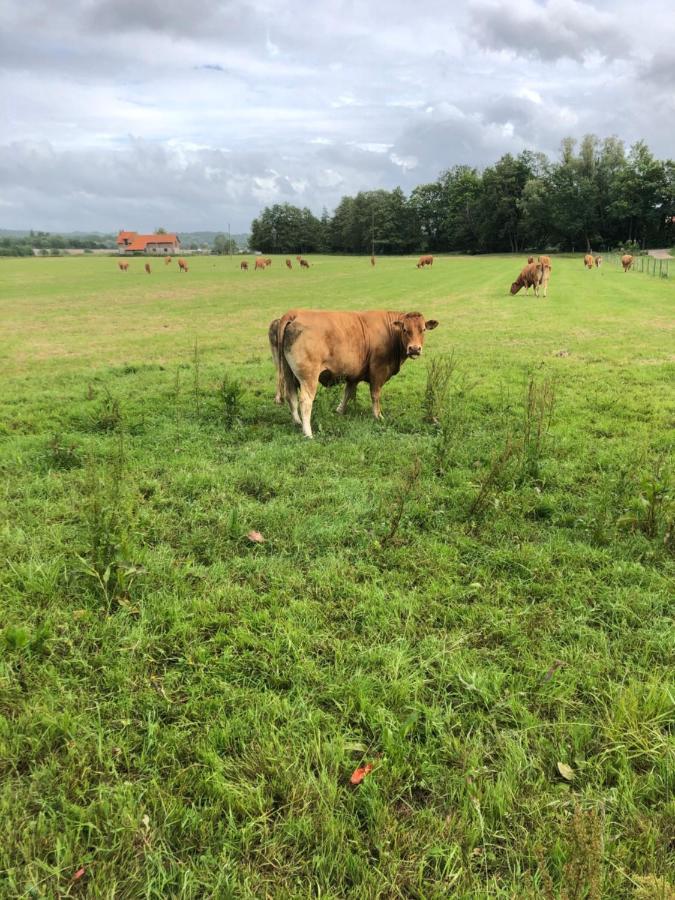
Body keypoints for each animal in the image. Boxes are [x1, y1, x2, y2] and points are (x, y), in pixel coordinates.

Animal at [274, 308, 438, 438]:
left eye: (423, 329)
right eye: (405, 329)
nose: (414, 349)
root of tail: (295, 313)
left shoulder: (354, 374)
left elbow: (347, 393)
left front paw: (340, 410)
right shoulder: (378, 371)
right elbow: (375, 395)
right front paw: (378, 416)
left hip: (288, 373)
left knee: (291, 396)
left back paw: (297, 422)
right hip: (309, 377)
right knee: (305, 401)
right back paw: (308, 433)